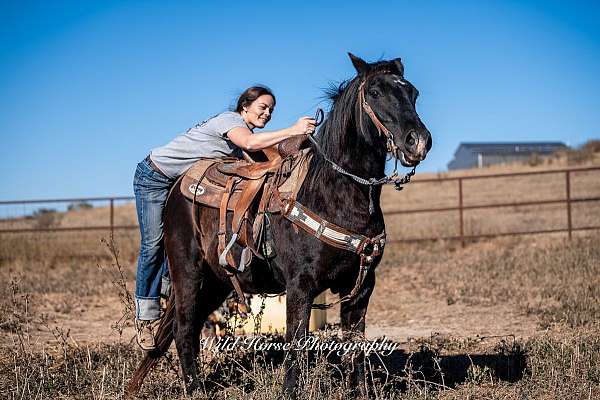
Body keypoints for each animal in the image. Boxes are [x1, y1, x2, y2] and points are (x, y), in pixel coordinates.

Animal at [127, 53, 432, 396]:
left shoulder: (361, 286)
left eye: (413, 93)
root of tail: (178, 186)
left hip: (217, 281)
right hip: (187, 272)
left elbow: (355, 347)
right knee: (183, 328)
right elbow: (296, 345)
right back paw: (195, 389)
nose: (418, 142)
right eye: (376, 93)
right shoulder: (300, 285)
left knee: (186, 328)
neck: (333, 192)